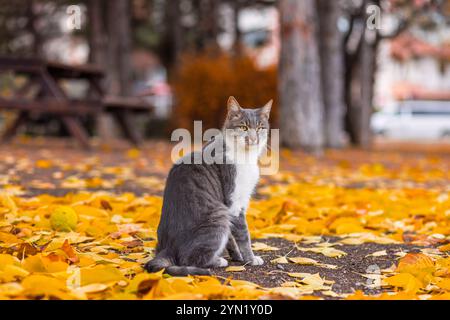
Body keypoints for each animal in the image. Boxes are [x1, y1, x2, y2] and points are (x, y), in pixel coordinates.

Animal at [145, 95, 270, 276]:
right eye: (243, 127)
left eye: (260, 127)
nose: (254, 139)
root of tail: (166, 249)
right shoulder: (234, 204)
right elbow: (243, 235)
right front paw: (250, 258)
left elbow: (231, 238)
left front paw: (238, 256)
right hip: (219, 215)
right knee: (190, 259)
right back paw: (218, 261)